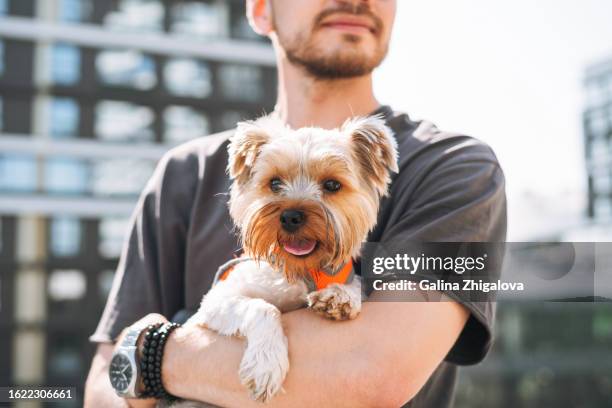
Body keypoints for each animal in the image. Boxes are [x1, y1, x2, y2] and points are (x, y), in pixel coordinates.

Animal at [189, 113, 396, 404]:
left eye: (332, 185)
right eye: (275, 183)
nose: (290, 216)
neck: (302, 271)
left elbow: (353, 284)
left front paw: (340, 297)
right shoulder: (216, 301)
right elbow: (264, 307)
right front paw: (265, 365)